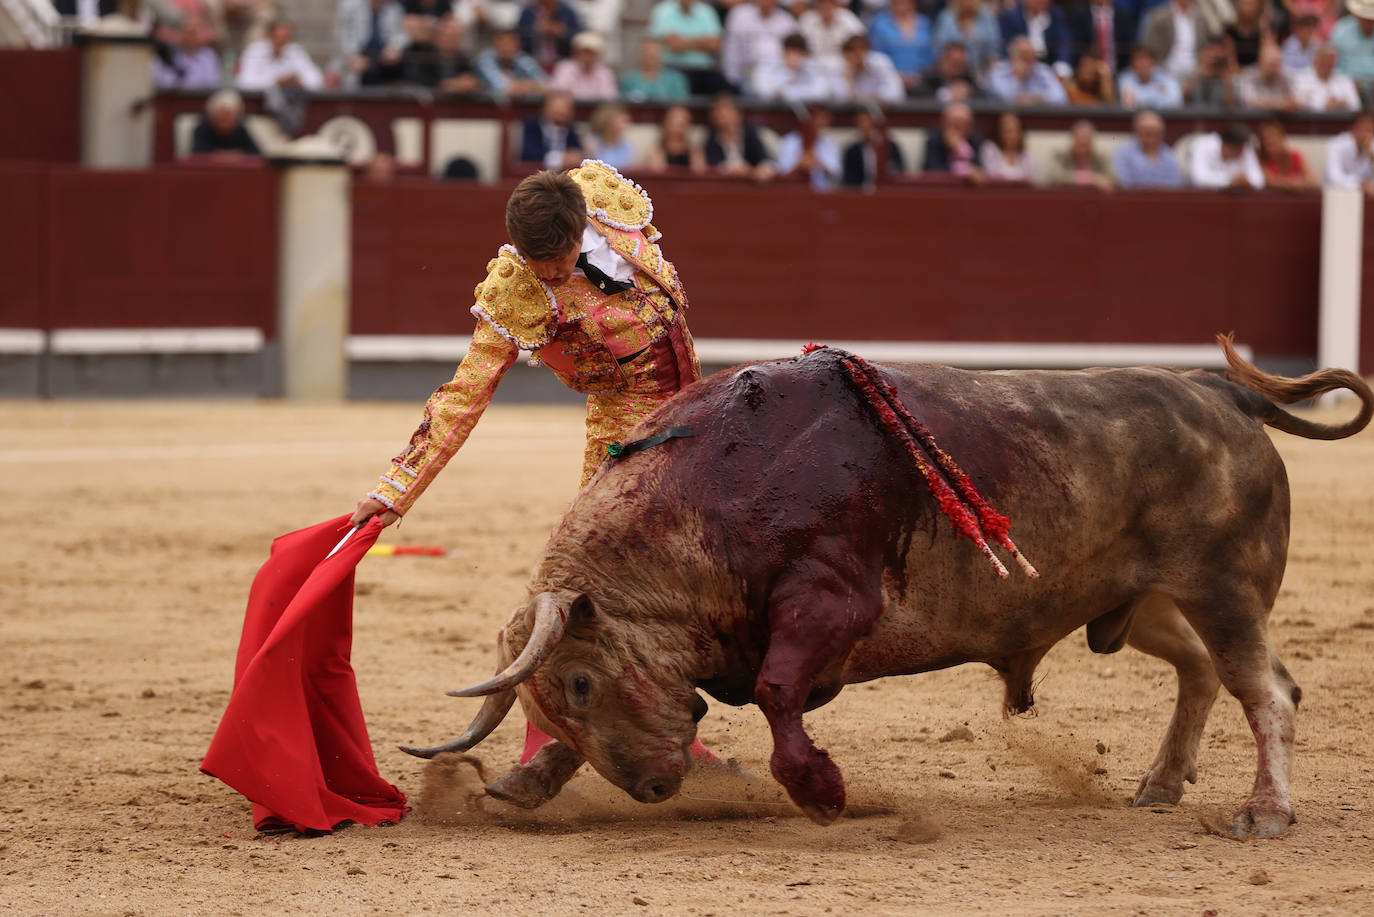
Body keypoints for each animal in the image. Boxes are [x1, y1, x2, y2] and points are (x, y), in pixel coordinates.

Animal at [403, 339, 1374, 841]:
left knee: (1267, 688)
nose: (651, 785)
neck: (704, 501)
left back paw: (1265, 811)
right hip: (1136, 600)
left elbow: (778, 690)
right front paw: (525, 784)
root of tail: (1222, 394)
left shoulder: (830, 603)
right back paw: (1163, 782)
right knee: (1200, 670)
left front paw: (823, 792)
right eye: (559, 702)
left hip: (1225, 587)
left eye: (578, 681)